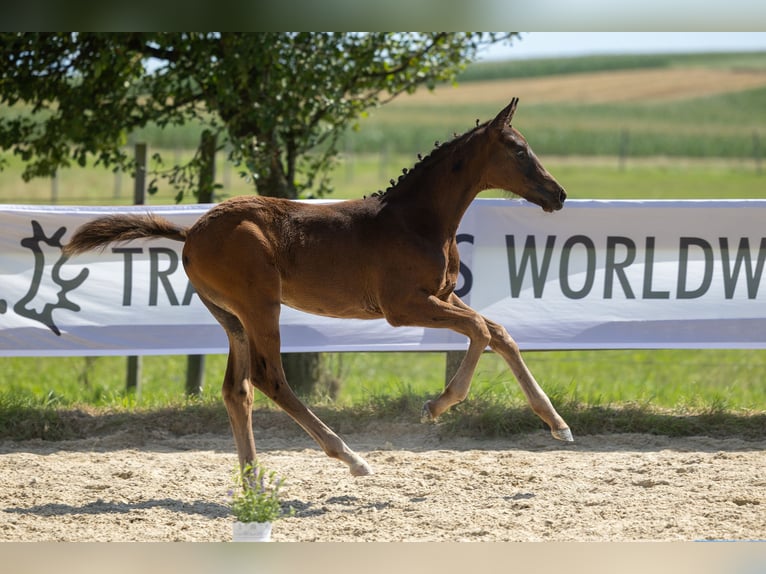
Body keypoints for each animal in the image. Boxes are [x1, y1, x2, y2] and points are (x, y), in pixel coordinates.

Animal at [64, 99, 568, 476]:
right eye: (518, 149)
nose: (558, 194)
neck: (418, 221)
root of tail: (191, 233)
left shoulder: (441, 296)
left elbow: (498, 332)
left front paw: (557, 424)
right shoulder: (404, 306)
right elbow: (482, 331)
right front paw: (437, 405)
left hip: (231, 318)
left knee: (236, 390)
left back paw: (254, 483)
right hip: (260, 306)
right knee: (269, 378)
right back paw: (351, 458)